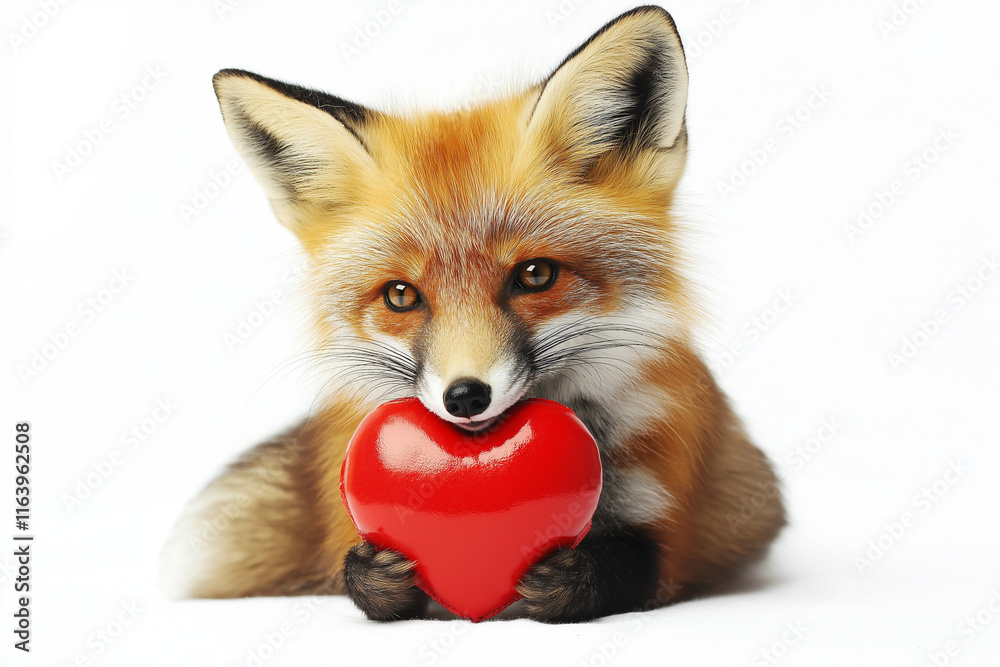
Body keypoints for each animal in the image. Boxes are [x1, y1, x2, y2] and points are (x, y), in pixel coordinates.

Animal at [163, 5, 786, 623]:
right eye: (400, 295)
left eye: (535, 275)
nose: (465, 397)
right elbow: (356, 575)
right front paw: (379, 577)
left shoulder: (677, 519)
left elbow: (635, 566)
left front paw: (571, 579)